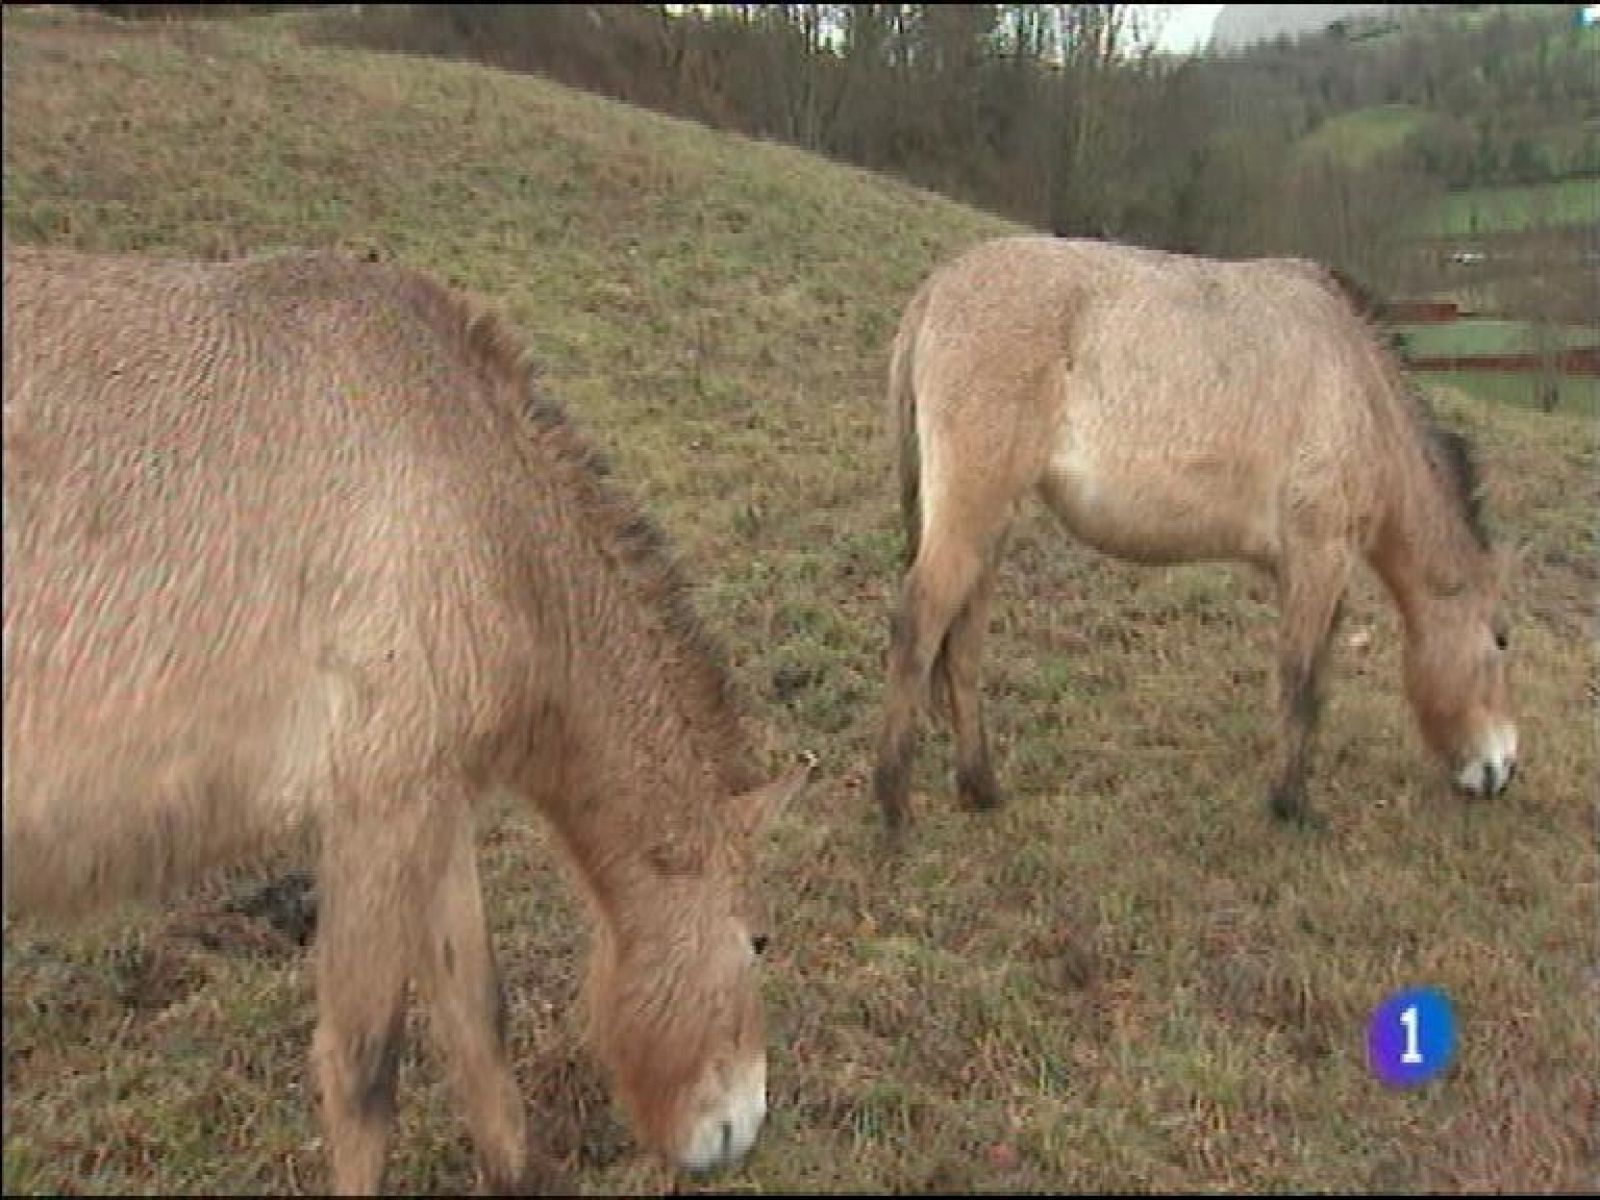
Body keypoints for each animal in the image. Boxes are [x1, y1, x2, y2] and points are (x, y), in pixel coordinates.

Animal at [3, 244, 812, 1196]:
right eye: (758, 941)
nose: (740, 1127)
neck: (469, 496)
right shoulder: (373, 816)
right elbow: (363, 1072)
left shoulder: (434, 802)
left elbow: (476, 1016)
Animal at [876, 235, 1510, 838]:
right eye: (1500, 641)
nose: (1500, 772)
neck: (1358, 387)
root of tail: (935, 290)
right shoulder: (1320, 557)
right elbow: (1302, 679)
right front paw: (1293, 807)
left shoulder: (1307, 571)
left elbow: (1313, 675)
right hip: (971, 512)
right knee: (919, 625)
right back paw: (894, 808)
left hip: (992, 523)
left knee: (963, 640)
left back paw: (980, 790)